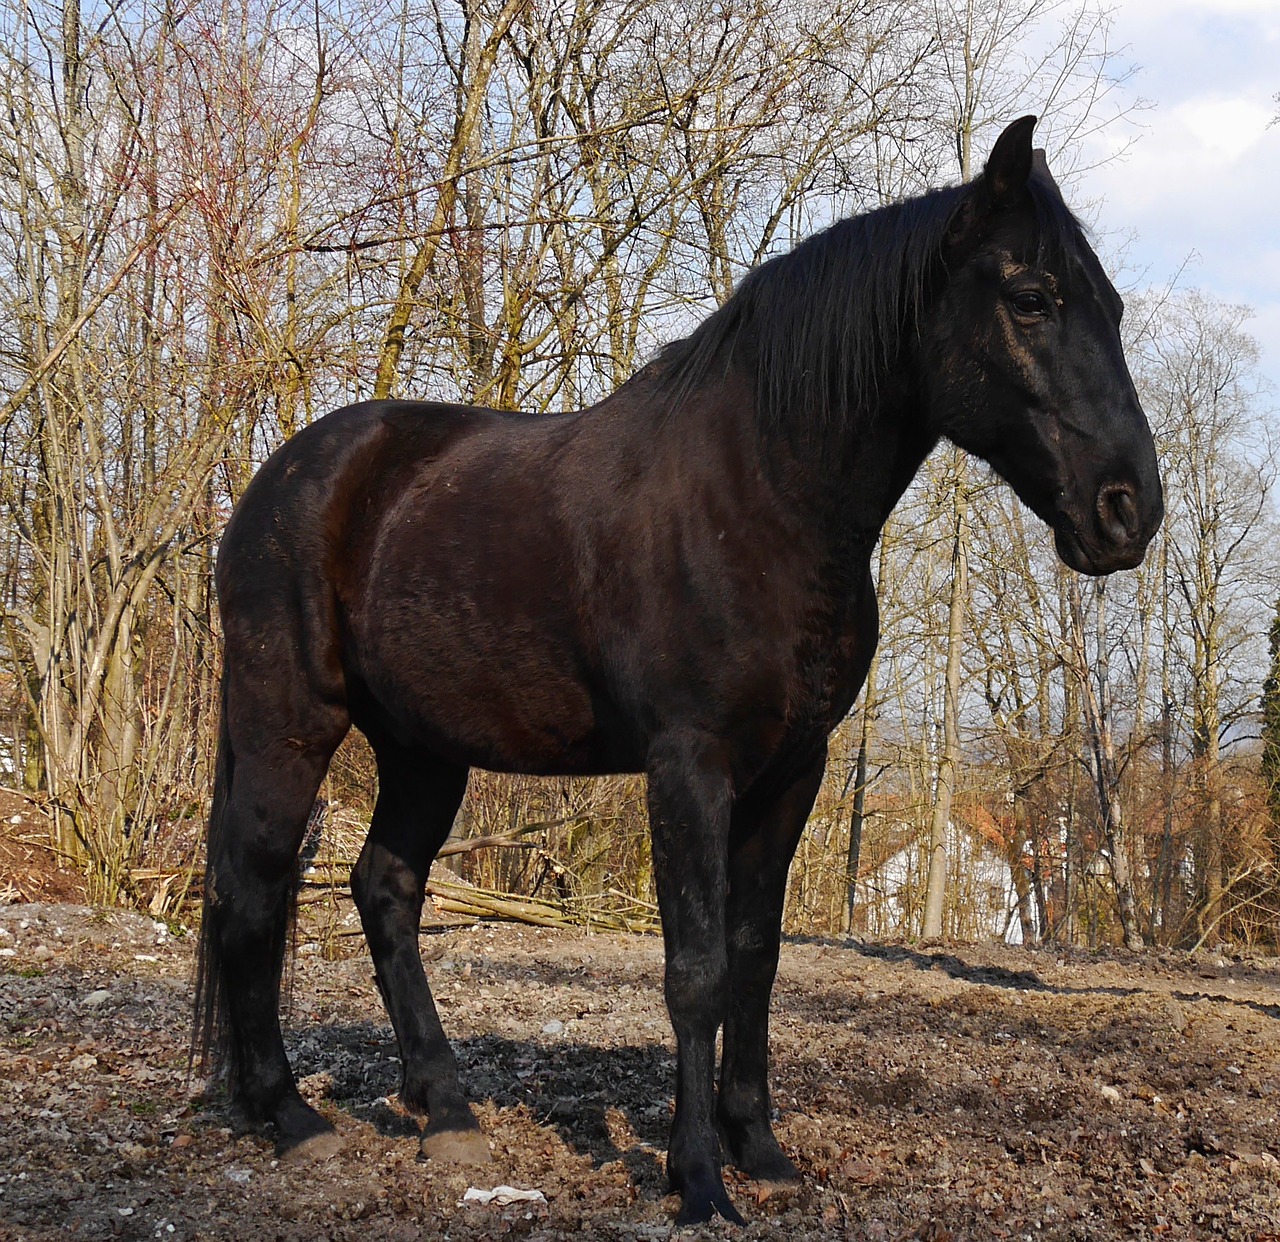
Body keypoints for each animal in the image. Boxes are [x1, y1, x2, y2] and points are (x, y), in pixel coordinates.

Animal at [194, 116, 1167, 1218]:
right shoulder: (688, 766)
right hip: (288, 723)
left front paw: (760, 1147)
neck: (757, 496)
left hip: (422, 749)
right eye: (1031, 297)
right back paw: (287, 1115)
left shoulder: (792, 770)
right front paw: (696, 1175)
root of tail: (278, 479)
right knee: (253, 887)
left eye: (1109, 305)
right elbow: (694, 969)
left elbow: (754, 957)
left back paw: (444, 1110)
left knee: (384, 888)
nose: (1127, 508)